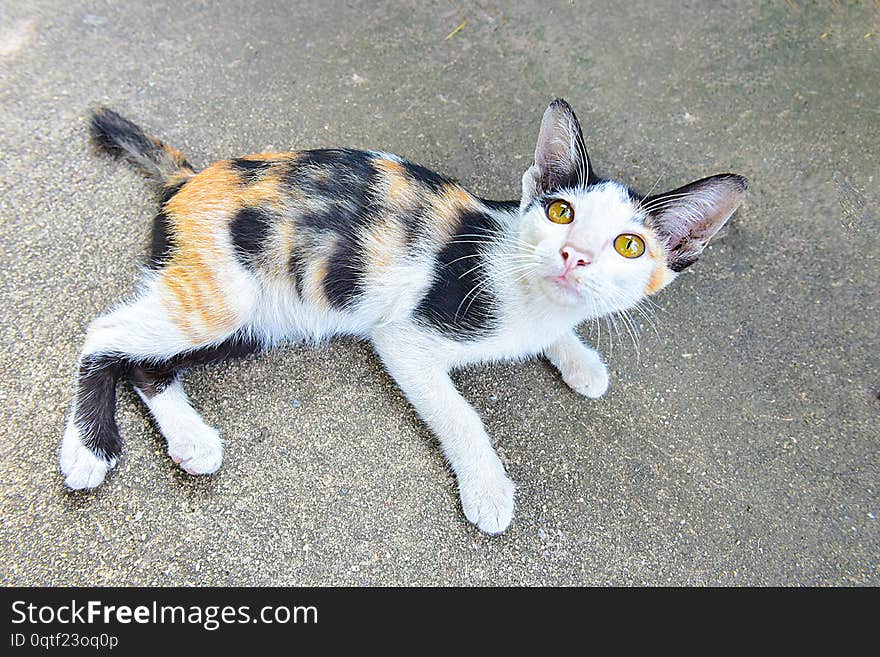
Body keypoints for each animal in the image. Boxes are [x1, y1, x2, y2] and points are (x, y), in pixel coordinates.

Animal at [62, 100, 744, 536]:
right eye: (560, 213)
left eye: (630, 246)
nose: (573, 255)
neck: (526, 294)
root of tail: (190, 177)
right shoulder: (404, 336)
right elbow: (461, 413)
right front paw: (489, 489)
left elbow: (562, 331)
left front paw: (582, 362)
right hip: (229, 295)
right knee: (106, 334)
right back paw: (87, 451)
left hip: (266, 316)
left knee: (148, 363)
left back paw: (191, 440)